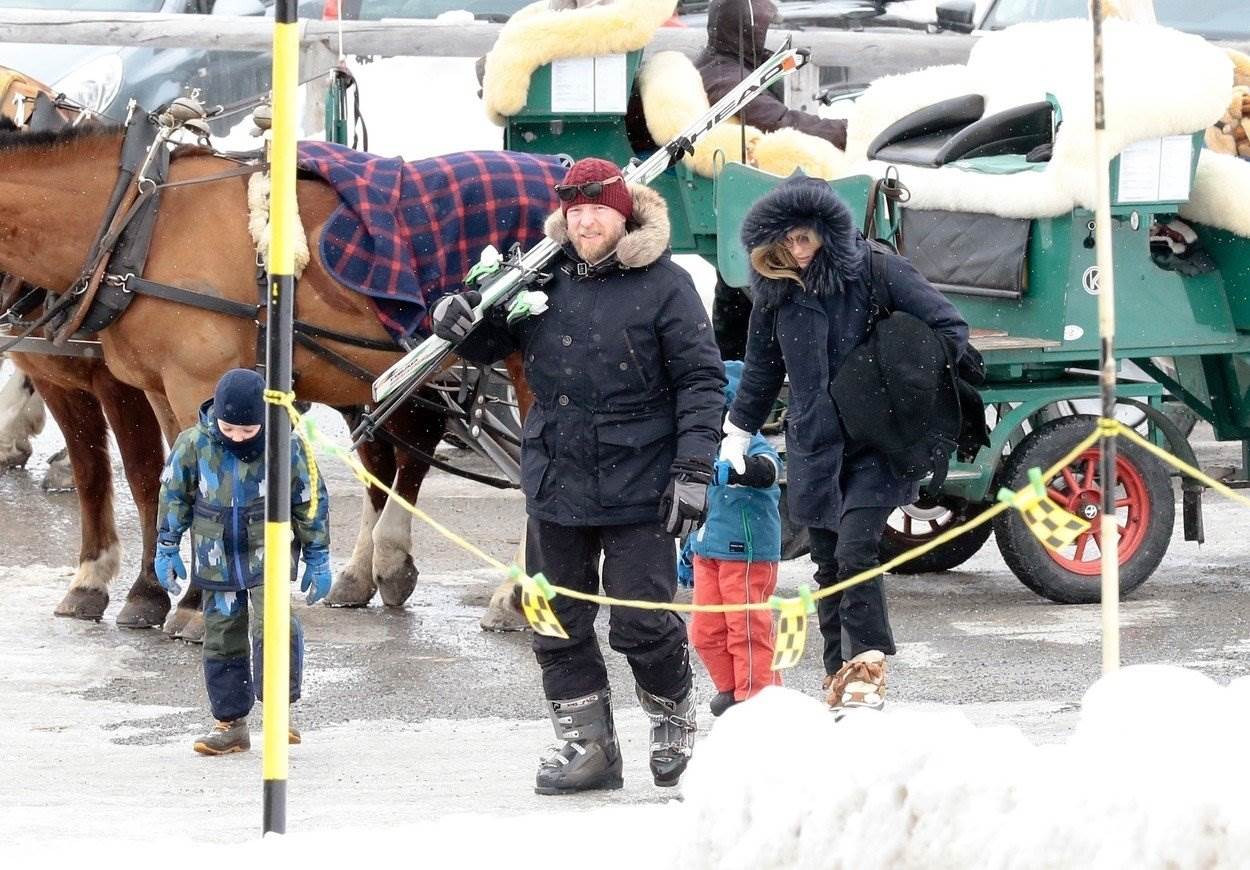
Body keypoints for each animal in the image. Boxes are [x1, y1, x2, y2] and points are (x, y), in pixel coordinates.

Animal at [0, 122, 532, 627]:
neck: (141, 219)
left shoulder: (188, 383)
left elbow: (179, 483)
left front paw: (184, 604)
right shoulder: (153, 389)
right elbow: (153, 478)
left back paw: (512, 597)